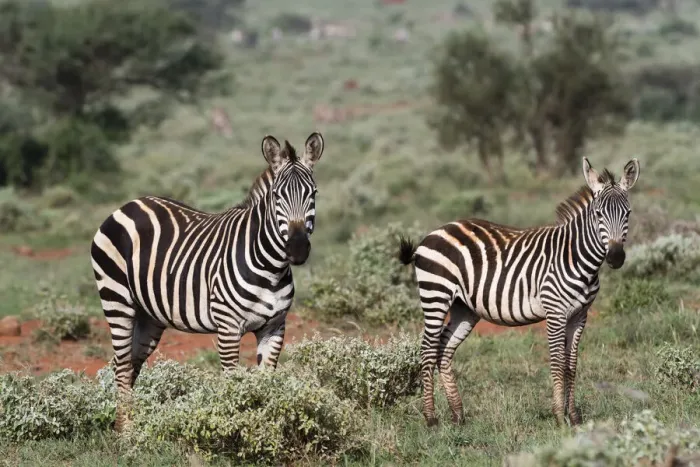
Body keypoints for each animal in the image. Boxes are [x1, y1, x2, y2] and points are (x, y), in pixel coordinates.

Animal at [90, 132, 324, 431]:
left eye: (313, 194)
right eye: (276, 196)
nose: (297, 249)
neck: (271, 268)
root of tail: (128, 205)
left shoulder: (275, 328)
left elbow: (267, 383)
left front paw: (267, 432)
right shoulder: (228, 328)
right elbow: (232, 386)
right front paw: (233, 434)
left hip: (148, 316)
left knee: (129, 365)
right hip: (116, 300)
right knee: (121, 367)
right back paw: (126, 434)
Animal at [398, 157, 640, 427]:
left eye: (628, 213)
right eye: (598, 214)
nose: (616, 257)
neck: (576, 257)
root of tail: (434, 232)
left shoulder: (580, 316)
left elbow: (571, 365)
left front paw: (575, 417)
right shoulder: (555, 313)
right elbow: (558, 363)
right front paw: (559, 417)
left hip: (464, 308)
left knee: (444, 349)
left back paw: (458, 415)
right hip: (436, 295)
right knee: (428, 350)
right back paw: (431, 418)